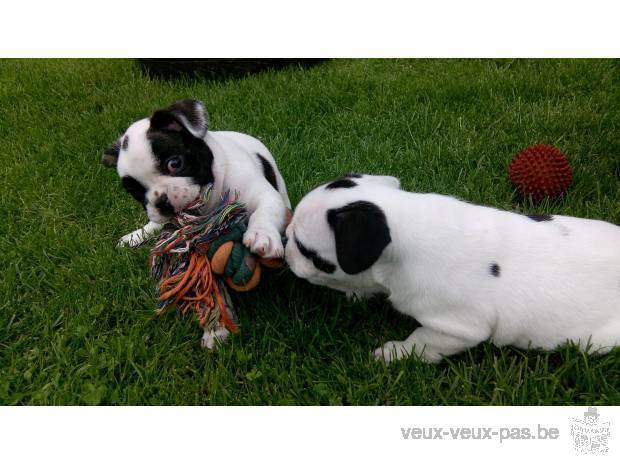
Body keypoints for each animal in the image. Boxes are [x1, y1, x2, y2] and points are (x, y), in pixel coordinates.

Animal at [101, 99, 290, 348]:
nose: (161, 202)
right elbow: (209, 289)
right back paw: (136, 235)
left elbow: (265, 210)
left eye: (175, 163)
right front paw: (215, 328)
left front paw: (263, 235)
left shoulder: (263, 195)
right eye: (135, 191)